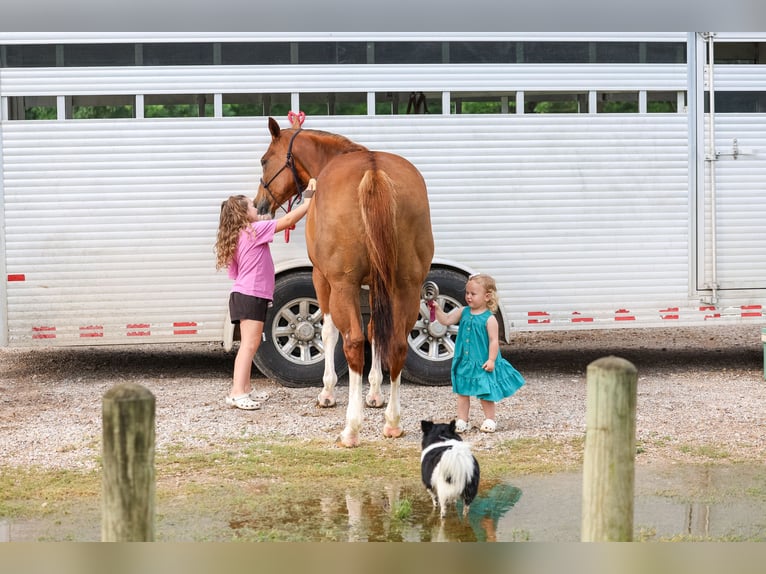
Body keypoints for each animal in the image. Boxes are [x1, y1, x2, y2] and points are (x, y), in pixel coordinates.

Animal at [255, 116, 434, 447]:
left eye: (264, 160)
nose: (259, 204)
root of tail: (373, 171)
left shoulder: (322, 278)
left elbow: (327, 333)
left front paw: (327, 391)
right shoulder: (378, 282)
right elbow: (377, 329)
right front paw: (374, 392)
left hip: (342, 286)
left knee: (352, 342)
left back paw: (352, 428)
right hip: (407, 285)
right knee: (396, 342)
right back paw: (392, 421)